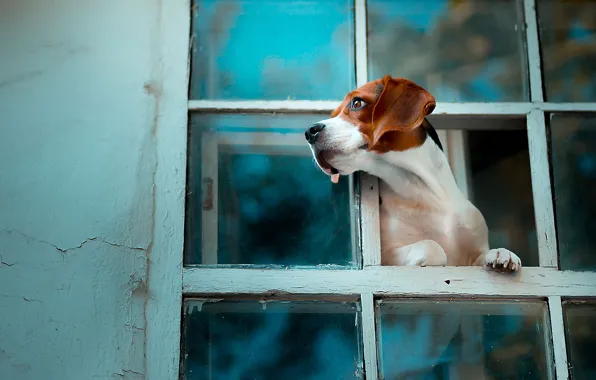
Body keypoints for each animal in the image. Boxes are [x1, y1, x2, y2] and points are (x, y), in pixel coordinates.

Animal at [308, 74, 520, 272]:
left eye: (357, 103)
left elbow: (482, 256)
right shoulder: (386, 256)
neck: (422, 190)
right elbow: (432, 247)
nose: (309, 131)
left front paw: (501, 253)